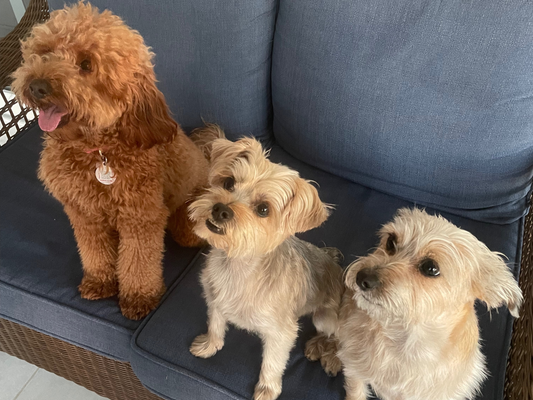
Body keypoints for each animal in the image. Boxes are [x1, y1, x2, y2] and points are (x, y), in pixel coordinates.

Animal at [9, 0, 210, 318]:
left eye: (86, 64)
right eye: (44, 52)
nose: (37, 86)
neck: (96, 152)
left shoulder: (141, 217)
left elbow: (138, 262)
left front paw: (138, 297)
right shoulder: (83, 213)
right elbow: (95, 251)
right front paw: (100, 281)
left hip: (185, 225)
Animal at [187, 134, 342, 400]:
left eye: (263, 209)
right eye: (228, 182)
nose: (221, 209)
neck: (237, 266)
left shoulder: (281, 333)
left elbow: (272, 363)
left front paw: (267, 389)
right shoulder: (215, 300)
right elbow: (216, 325)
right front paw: (209, 345)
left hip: (325, 316)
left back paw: (328, 355)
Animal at [334, 208, 520, 400]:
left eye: (431, 268)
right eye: (391, 241)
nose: (362, 278)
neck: (405, 340)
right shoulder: (354, 368)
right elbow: (356, 392)